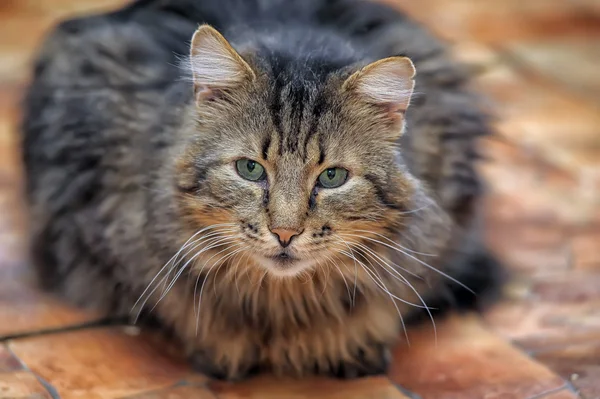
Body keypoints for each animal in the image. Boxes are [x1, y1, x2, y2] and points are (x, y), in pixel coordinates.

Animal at [21, 0, 504, 382]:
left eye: (332, 177)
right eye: (250, 169)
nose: (285, 233)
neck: (282, 303)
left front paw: (346, 346)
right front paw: (224, 350)